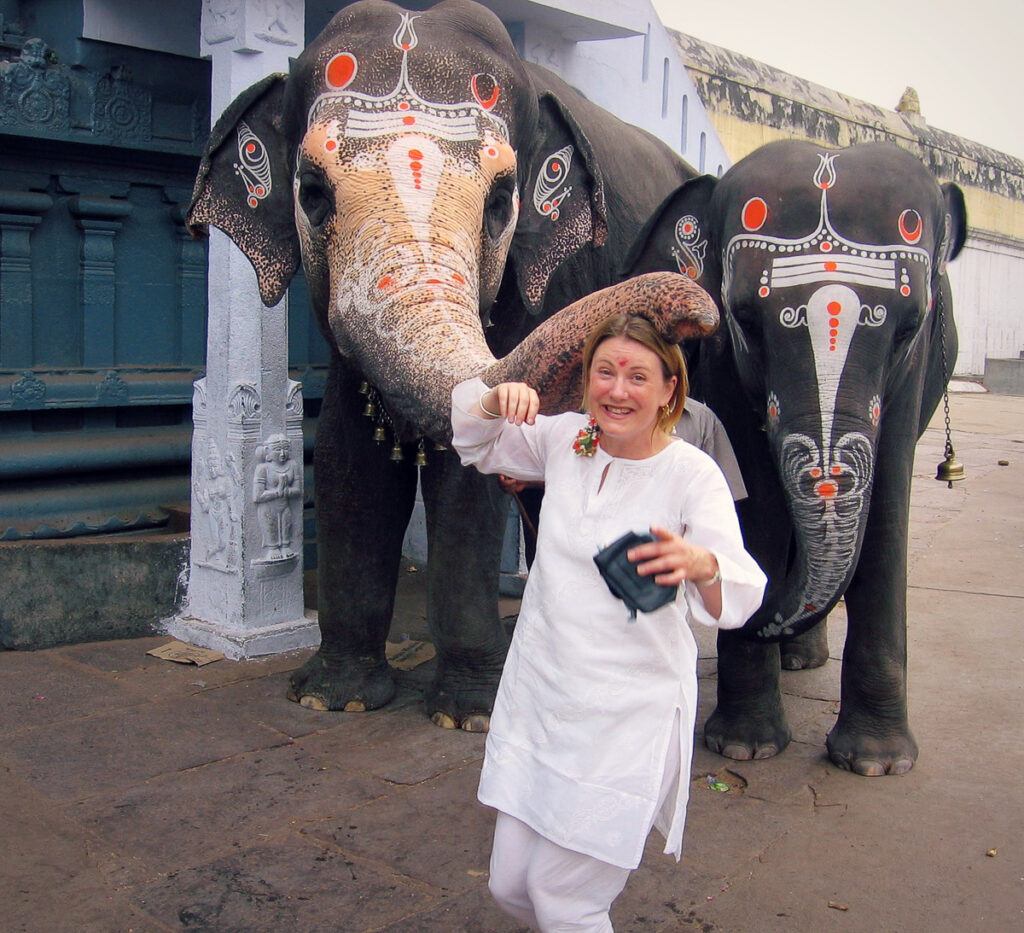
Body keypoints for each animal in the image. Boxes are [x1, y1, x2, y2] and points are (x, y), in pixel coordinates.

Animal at [188, 0, 716, 725]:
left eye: (500, 202)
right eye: (313, 192)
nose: (697, 309)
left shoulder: (542, 280)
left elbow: (467, 479)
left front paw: (468, 713)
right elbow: (348, 454)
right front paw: (333, 698)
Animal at [622, 138, 966, 778]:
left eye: (909, 326)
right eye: (746, 321)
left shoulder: (911, 377)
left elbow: (888, 506)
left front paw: (877, 765)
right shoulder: (723, 361)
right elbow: (753, 495)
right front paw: (745, 748)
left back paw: (802, 662)